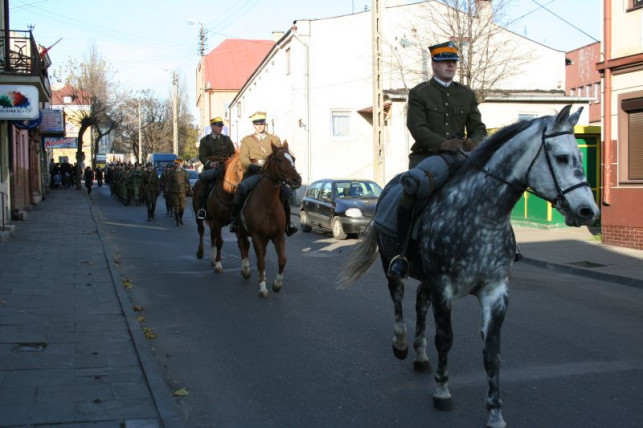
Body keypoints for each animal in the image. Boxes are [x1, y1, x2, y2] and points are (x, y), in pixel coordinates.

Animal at [238, 140, 304, 298]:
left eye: (294, 159)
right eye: (279, 160)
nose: (297, 180)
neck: (267, 204)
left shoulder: (278, 235)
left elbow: (282, 260)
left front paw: (277, 284)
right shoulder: (256, 236)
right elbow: (261, 262)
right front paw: (263, 287)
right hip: (241, 231)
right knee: (243, 245)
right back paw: (246, 269)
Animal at [340, 106, 600, 428]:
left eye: (579, 155)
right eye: (563, 157)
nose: (589, 211)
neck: (481, 216)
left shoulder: (495, 291)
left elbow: (491, 351)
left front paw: (495, 413)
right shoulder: (444, 287)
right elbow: (444, 339)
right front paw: (442, 392)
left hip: (427, 279)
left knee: (419, 304)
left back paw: (420, 357)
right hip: (394, 265)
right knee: (399, 301)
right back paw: (401, 345)